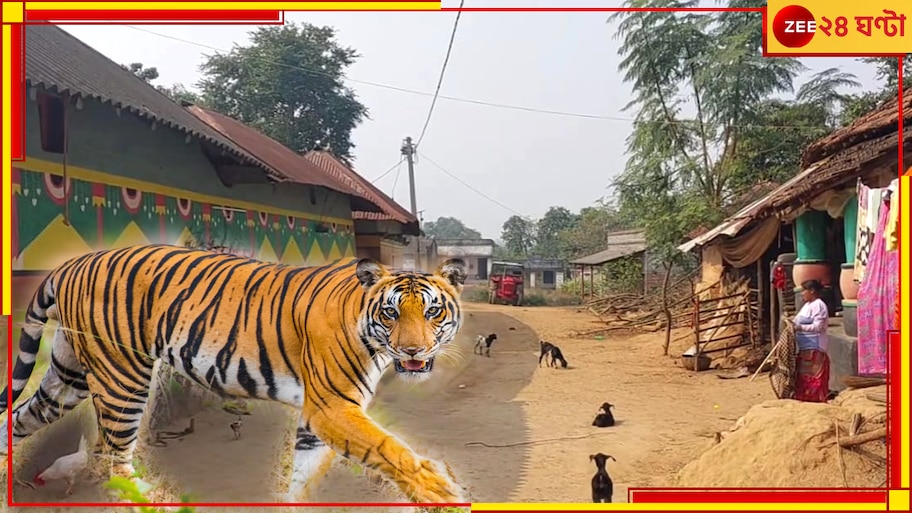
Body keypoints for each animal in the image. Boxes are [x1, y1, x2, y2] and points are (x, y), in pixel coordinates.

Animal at [0, 244, 469, 504]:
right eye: (391, 312)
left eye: (432, 311)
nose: (413, 350)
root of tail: (70, 264)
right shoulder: (332, 408)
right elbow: (391, 449)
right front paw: (442, 491)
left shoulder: (317, 421)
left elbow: (300, 478)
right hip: (122, 378)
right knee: (112, 460)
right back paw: (154, 498)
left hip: (68, 377)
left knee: (20, 416)